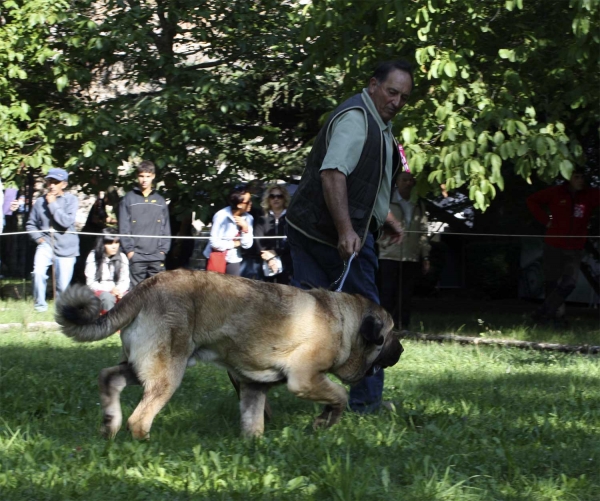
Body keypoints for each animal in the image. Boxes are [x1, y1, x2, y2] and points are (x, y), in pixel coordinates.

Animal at [56, 270, 404, 438]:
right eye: (389, 335)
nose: (401, 349)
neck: (345, 321)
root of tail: (146, 287)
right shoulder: (305, 379)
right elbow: (340, 397)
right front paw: (324, 422)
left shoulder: (252, 387)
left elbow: (253, 424)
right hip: (168, 372)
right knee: (139, 420)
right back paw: (146, 443)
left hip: (143, 366)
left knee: (109, 378)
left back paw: (109, 424)